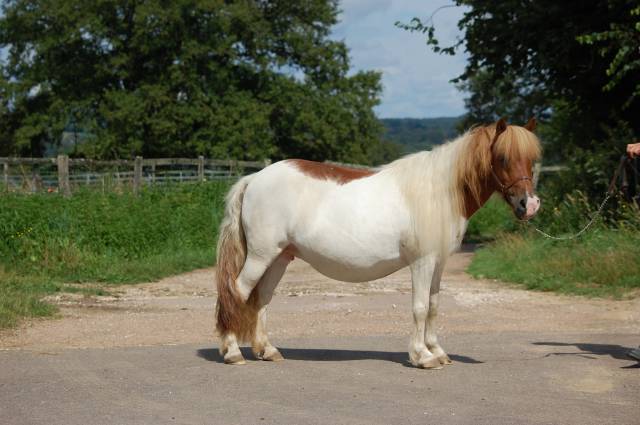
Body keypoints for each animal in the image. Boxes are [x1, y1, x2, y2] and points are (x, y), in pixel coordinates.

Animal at [214, 117, 541, 369]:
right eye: (503, 158)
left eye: (532, 160)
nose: (530, 205)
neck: (440, 191)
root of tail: (254, 179)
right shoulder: (422, 261)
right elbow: (420, 307)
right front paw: (423, 356)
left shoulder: (438, 262)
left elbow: (434, 306)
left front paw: (437, 351)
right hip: (261, 255)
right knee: (236, 292)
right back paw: (232, 352)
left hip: (280, 257)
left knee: (261, 298)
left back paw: (267, 350)